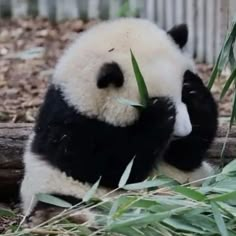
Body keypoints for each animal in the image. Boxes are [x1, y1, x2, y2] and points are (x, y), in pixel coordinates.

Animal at [20, 18, 218, 225]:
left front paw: (193, 89)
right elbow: (110, 167)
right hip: (61, 192)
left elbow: (186, 155)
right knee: (64, 206)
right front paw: (160, 114)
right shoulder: (71, 127)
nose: (184, 131)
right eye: (150, 101)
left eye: (182, 96)